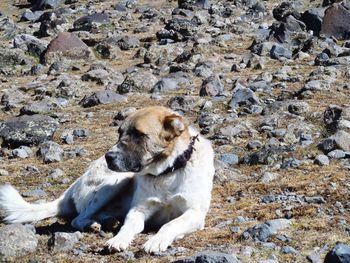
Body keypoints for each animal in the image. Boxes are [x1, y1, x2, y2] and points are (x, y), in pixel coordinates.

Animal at [0, 106, 216, 254]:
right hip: (114, 182)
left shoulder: (195, 213)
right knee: (78, 218)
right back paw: (94, 224)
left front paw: (156, 240)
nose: (108, 157)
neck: (166, 173)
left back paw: (108, 222)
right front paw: (118, 239)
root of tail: (71, 188)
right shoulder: (138, 210)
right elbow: (129, 226)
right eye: (119, 133)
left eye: (138, 134)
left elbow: (170, 224)